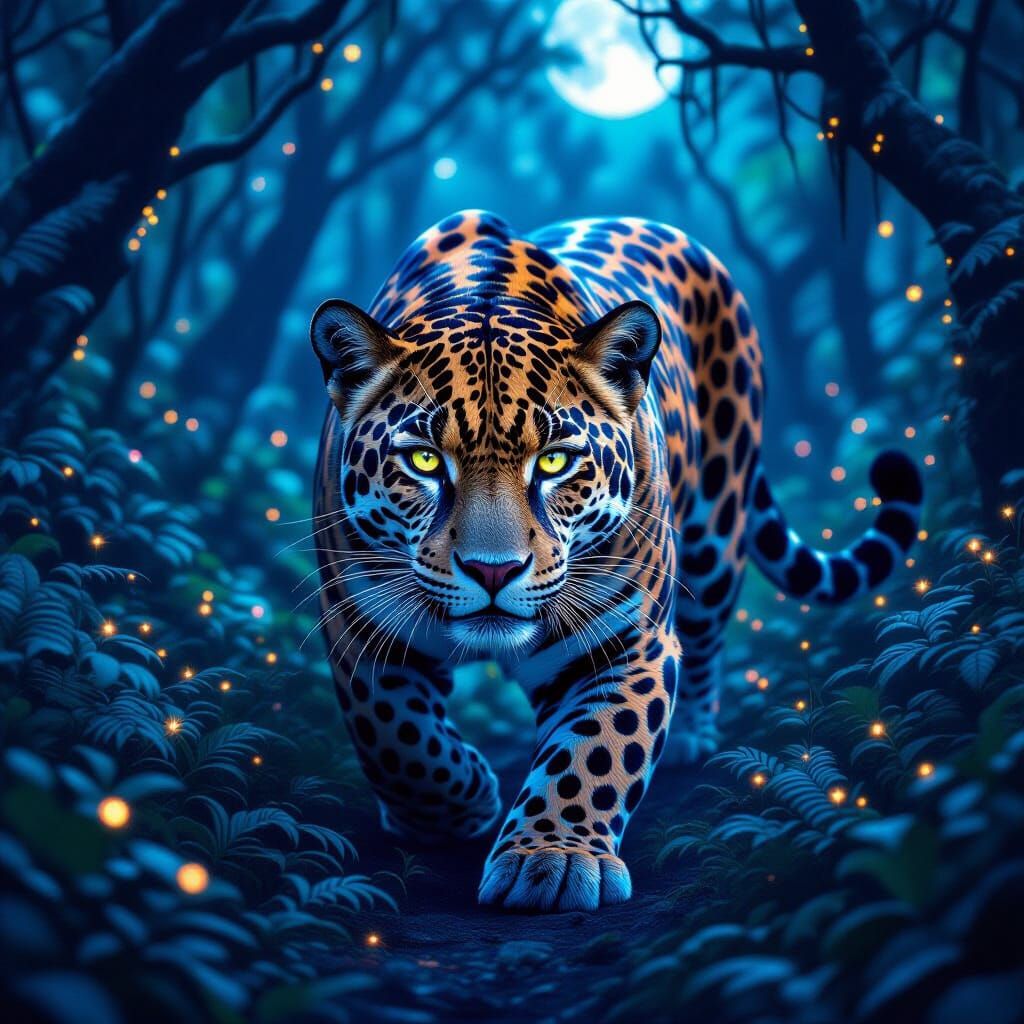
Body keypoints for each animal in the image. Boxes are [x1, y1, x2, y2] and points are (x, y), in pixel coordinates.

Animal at [309, 209, 922, 913]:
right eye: (424, 460)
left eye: (554, 460)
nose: (493, 570)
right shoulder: (362, 630)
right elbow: (397, 737)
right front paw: (454, 810)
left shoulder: (625, 641)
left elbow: (595, 754)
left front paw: (551, 859)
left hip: (717, 529)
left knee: (706, 633)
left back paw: (693, 735)